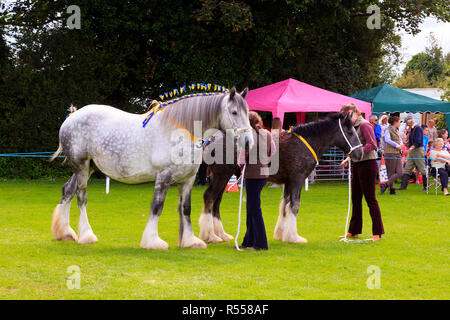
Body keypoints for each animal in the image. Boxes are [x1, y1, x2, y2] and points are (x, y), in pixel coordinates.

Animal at [50, 87, 253, 250]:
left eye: (248, 112)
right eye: (234, 112)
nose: (248, 142)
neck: (179, 132)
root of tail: (72, 116)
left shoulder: (187, 180)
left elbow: (186, 208)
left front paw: (190, 241)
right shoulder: (163, 177)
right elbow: (157, 207)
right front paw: (153, 242)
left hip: (86, 168)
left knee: (68, 190)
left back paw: (65, 233)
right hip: (82, 167)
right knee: (81, 197)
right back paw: (86, 235)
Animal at [198, 111, 362, 244]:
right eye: (350, 132)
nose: (359, 154)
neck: (305, 144)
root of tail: (211, 139)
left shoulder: (289, 182)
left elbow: (285, 205)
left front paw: (282, 234)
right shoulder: (297, 180)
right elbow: (294, 205)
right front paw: (294, 237)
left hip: (222, 177)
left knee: (216, 201)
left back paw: (222, 234)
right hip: (221, 175)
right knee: (209, 197)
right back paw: (210, 236)